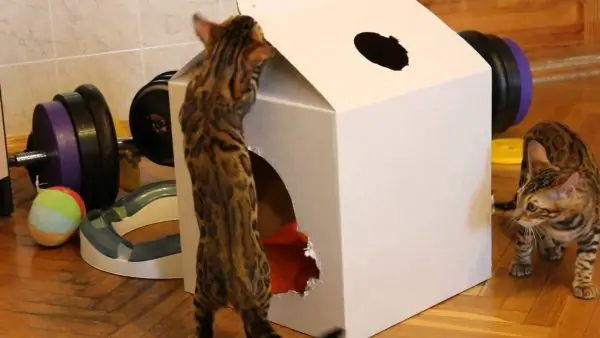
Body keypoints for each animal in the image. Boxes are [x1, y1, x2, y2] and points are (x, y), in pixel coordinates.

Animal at [178, 11, 344, 338]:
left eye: (234, 17)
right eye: (252, 26)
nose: (249, 15)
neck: (217, 75)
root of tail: (234, 282)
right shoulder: (245, 92)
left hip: (201, 296)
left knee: (205, 326)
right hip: (263, 288)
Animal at [494, 121, 600, 298]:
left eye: (532, 206)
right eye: (520, 197)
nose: (515, 217)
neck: (560, 223)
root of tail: (545, 122)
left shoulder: (593, 232)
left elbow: (585, 259)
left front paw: (584, 283)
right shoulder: (527, 225)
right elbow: (524, 240)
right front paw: (521, 262)